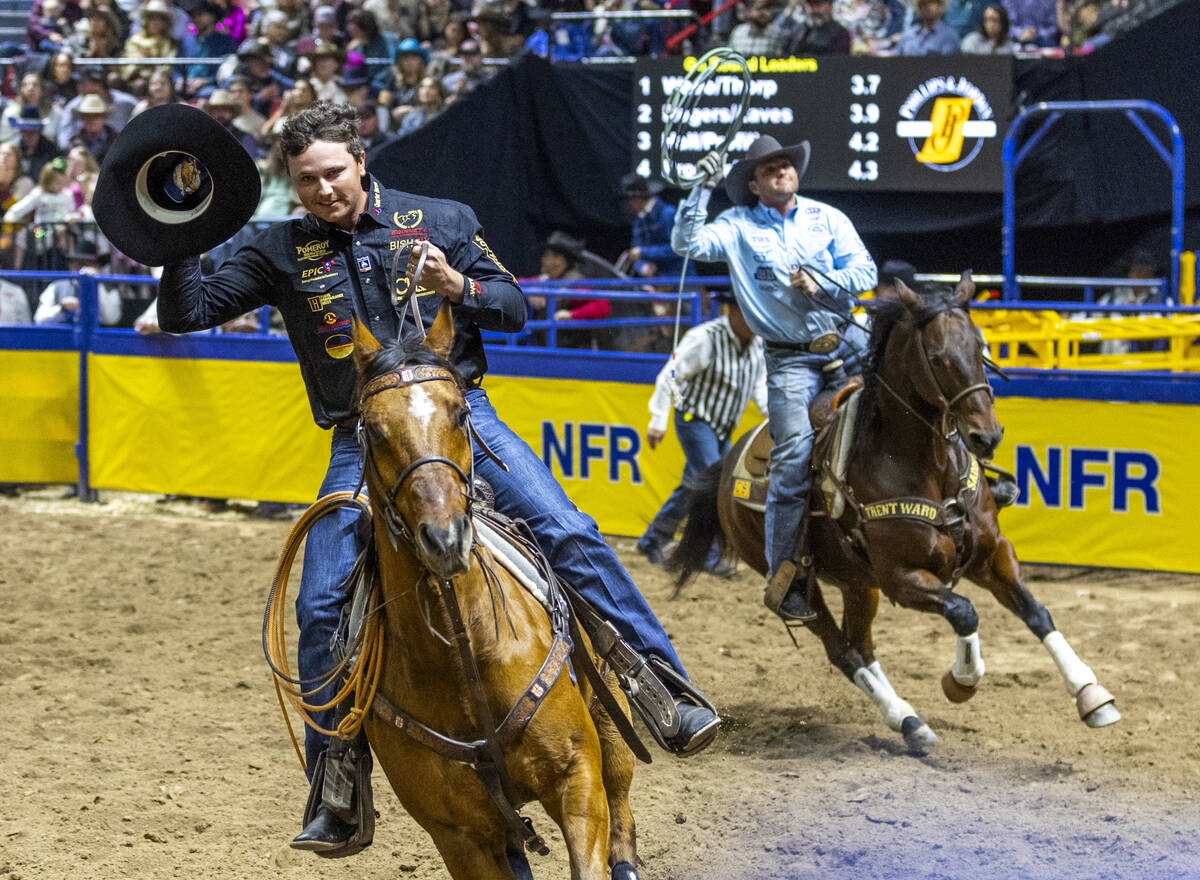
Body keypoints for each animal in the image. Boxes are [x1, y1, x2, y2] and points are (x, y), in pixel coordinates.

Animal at [350, 309, 643, 878]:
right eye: (373, 430)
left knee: (622, 797)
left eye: (461, 413)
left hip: (609, 717)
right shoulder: (458, 836)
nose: (445, 537)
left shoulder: (577, 779)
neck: (463, 658)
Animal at [672, 272, 1118, 749]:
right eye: (937, 357)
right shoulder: (902, 579)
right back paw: (905, 718)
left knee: (861, 646)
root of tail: (727, 465)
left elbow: (1036, 612)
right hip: (803, 582)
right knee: (842, 651)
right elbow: (965, 611)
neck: (923, 465)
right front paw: (962, 680)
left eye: (981, 345)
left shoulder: (992, 553)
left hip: (857, 582)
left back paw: (910, 721)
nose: (987, 436)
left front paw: (1092, 694)